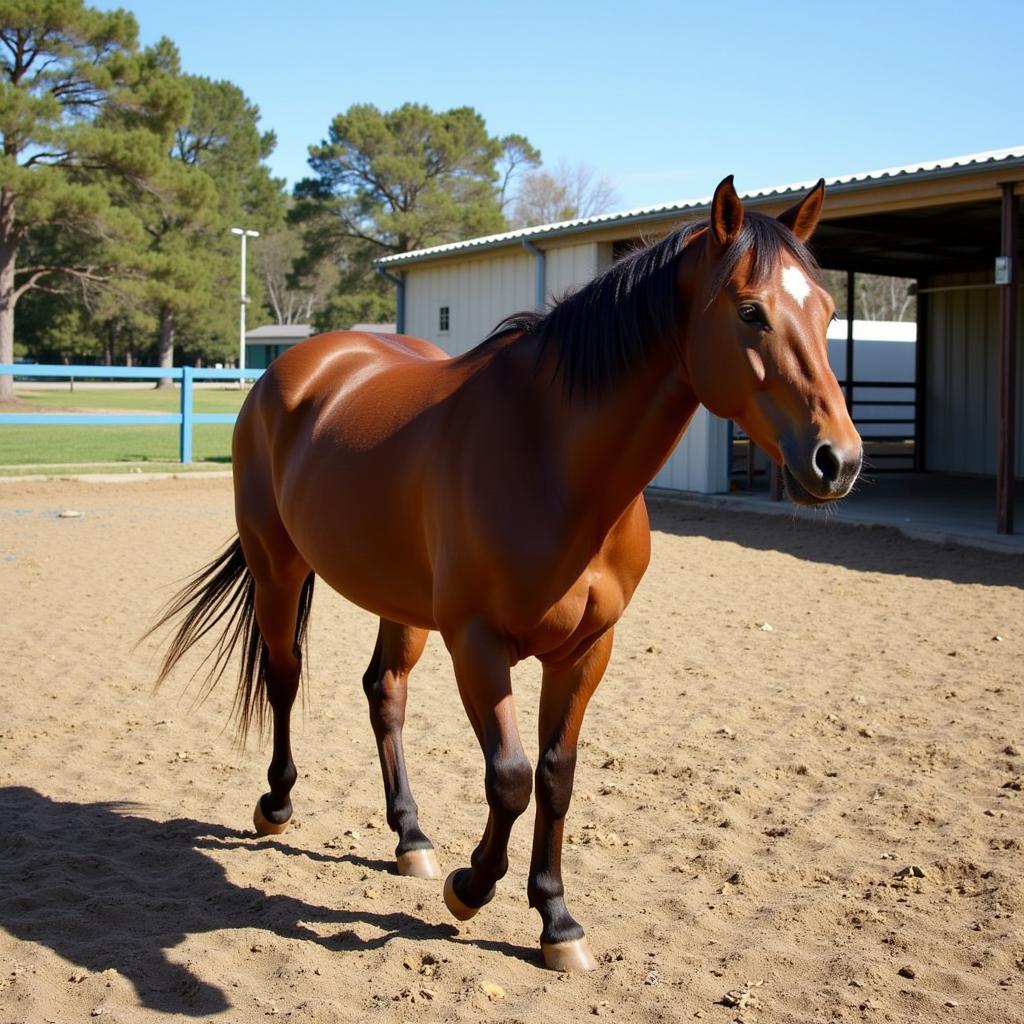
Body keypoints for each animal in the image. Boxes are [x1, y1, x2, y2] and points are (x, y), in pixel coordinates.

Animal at [151, 174, 860, 966]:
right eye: (750, 311)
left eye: (828, 310)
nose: (838, 460)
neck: (550, 455)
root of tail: (299, 366)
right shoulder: (478, 643)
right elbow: (511, 777)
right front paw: (471, 887)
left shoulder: (586, 649)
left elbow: (556, 776)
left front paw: (556, 919)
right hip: (277, 563)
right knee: (285, 675)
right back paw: (277, 804)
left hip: (399, 600)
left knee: (385, 693)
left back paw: (411, 836)